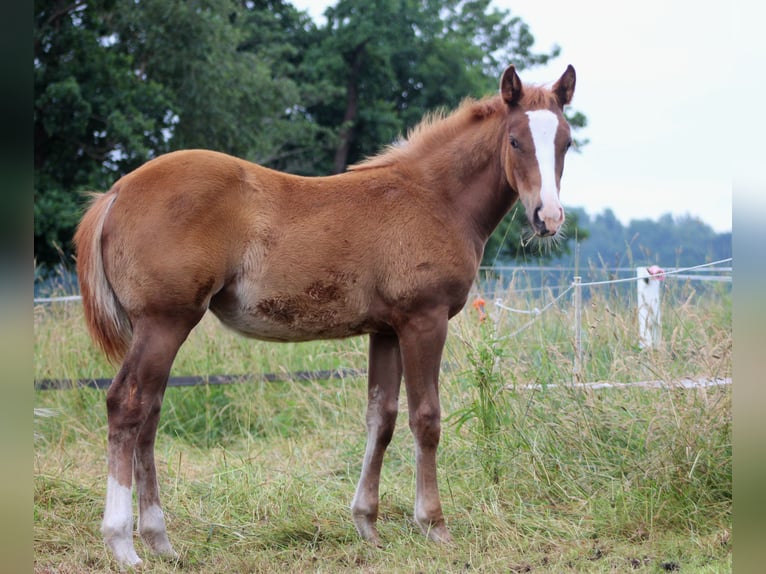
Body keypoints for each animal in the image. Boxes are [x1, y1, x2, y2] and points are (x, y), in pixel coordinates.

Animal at [74, 63, 576, 566]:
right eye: (515, 140)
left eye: (566, 142)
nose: (548, 218)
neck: (436, 198)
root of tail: (116, 192)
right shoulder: (424, 320)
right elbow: (426, 419)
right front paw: (434, 525)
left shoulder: (386, 330)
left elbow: (382, 418)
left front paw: (367, 524)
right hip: (164, 321)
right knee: (127, 404)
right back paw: (122, 544)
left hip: (160, 327)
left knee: (150, 412)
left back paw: (160, 540)